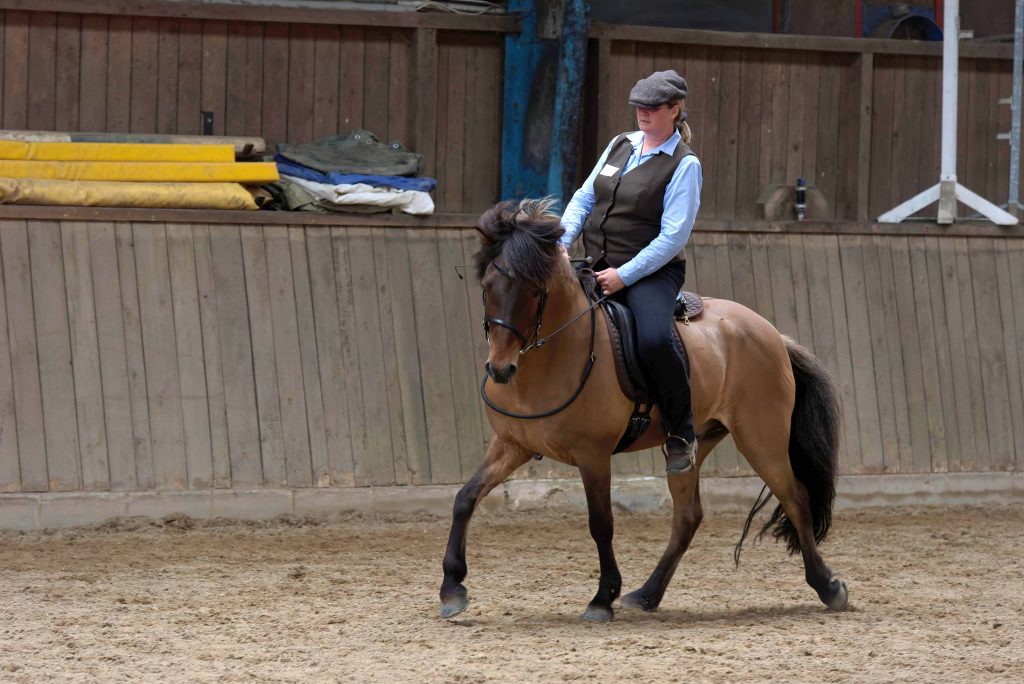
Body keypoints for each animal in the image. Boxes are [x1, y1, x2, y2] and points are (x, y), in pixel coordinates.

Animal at [440, 196, 847, 618]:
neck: (554, 356)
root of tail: (772, 334)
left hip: (761, 439)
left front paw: (603, 597)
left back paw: (828, 586)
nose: (500, 369)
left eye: (536, 292)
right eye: (488, 286)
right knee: (688, 516)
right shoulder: (512, 445)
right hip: (693, 443)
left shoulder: (592, 454)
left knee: (796, 497)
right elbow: (465, 498)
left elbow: (601, 522)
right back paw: (648, 594)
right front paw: (452, 587)